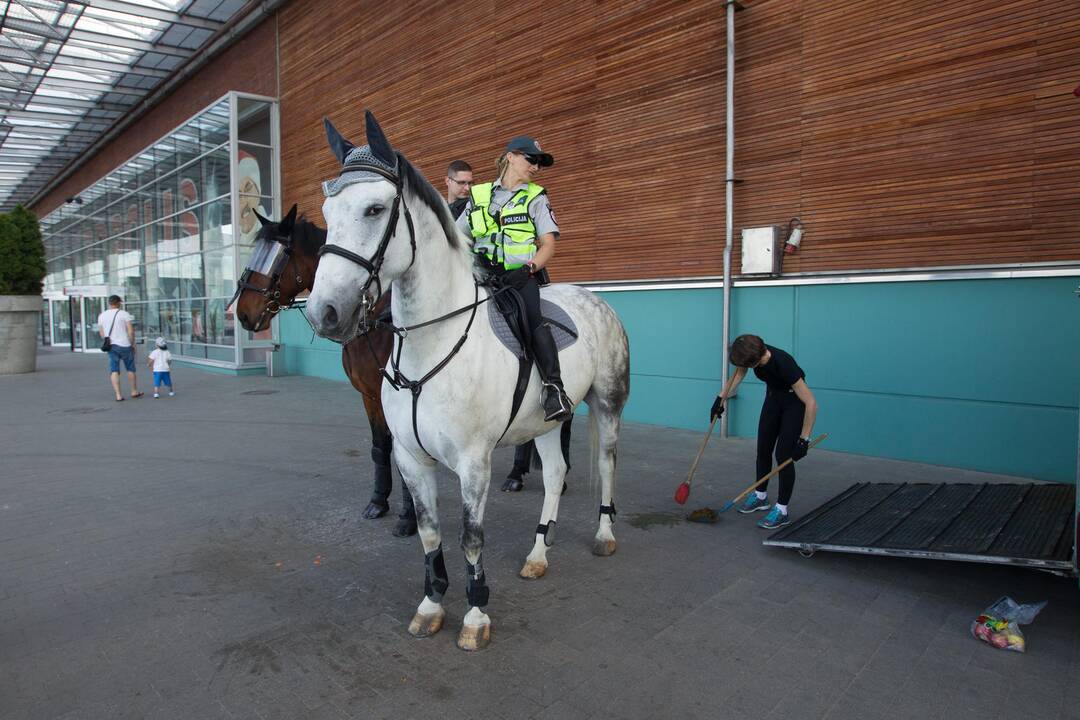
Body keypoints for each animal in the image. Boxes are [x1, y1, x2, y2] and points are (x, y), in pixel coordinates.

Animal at [234, 205, 414, 537]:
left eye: (279, 255)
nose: (242, 314)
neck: (376, 321)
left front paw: (408, 517)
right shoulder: (369, 396)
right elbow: (380, 447)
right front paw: (377, 502)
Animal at [304, 110, 630, 651]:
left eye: (374, 208)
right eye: (328, 212)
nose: (324, 312)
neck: (429, 346)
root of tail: (594, 299)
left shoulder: (473, 462)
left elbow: (470, 537)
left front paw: (476, 616)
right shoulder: (412, 459)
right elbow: (430, 532)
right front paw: (432, 604)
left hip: (607, 406)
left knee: (605, 465)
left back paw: (605, 537)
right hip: (543, 424)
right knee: (555, 474)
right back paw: (537, 555)